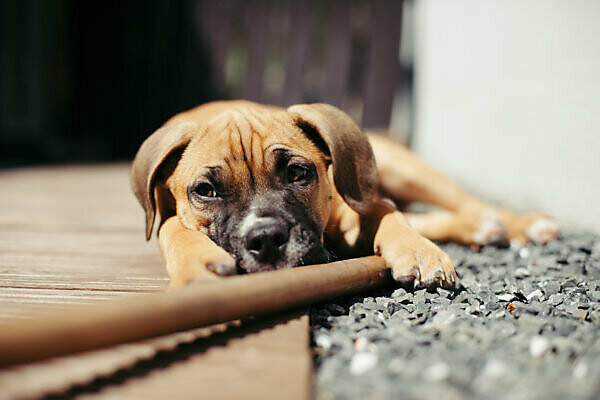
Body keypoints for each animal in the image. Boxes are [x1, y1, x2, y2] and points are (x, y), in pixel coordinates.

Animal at [131, 100, 556, 288]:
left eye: (297, 172)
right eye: (205, 191)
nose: (266, 239)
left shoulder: (353, 204)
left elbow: (385, 211)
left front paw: (419, 253)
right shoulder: (169, 216)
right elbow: (171, 227)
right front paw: (197, 265)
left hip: (402, 168)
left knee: (459, 201)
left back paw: (519, 223)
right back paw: (484, 227)